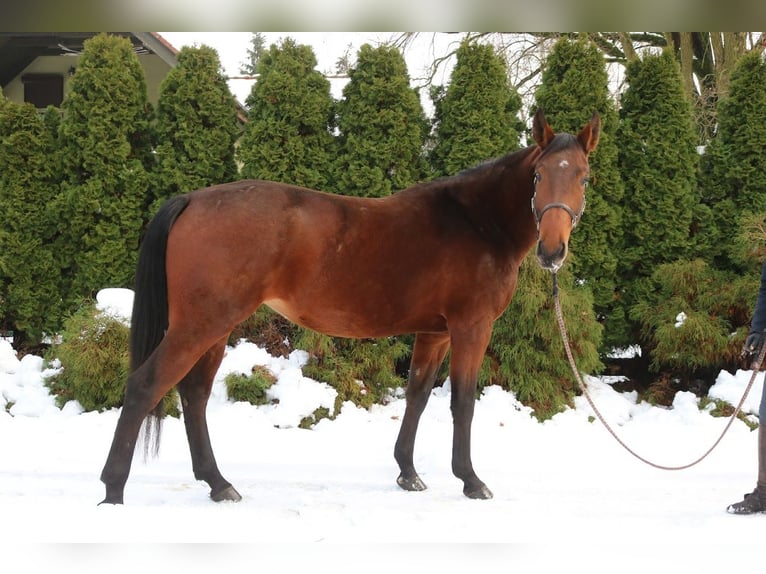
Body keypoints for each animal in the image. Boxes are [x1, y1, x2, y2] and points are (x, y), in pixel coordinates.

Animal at [99, 108, 600, 504]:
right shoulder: (471, 327)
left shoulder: (434, 333)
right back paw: (114, 490)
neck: (476, 222)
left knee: (194, 395)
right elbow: (461, 402)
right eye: (538, 176)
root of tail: (192, 199)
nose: (552, 251)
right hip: (199, 325)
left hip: (216, 327)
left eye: (583, 176)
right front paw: (471, 480)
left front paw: (408, 473)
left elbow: (417, 396)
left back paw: (218, 484)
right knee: (145, 386)